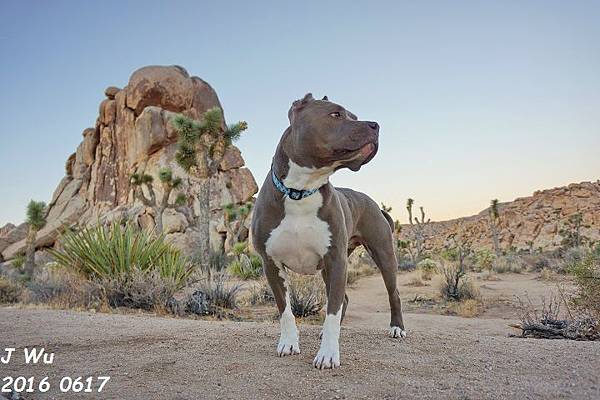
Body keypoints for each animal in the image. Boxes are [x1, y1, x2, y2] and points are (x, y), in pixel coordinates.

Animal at [251, 94, 406, 368]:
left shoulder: (337, 261)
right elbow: (285, 309)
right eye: (336, 114)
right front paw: (288, 343)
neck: (301, 190)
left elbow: (332, 311)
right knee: (345, 299)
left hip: (384, 255)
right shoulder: (271, 263)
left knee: (393, 294)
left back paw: (396, 328)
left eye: (355, 116)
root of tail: (374, 203)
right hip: (327, 268)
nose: (376, 125)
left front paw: (328, 354)